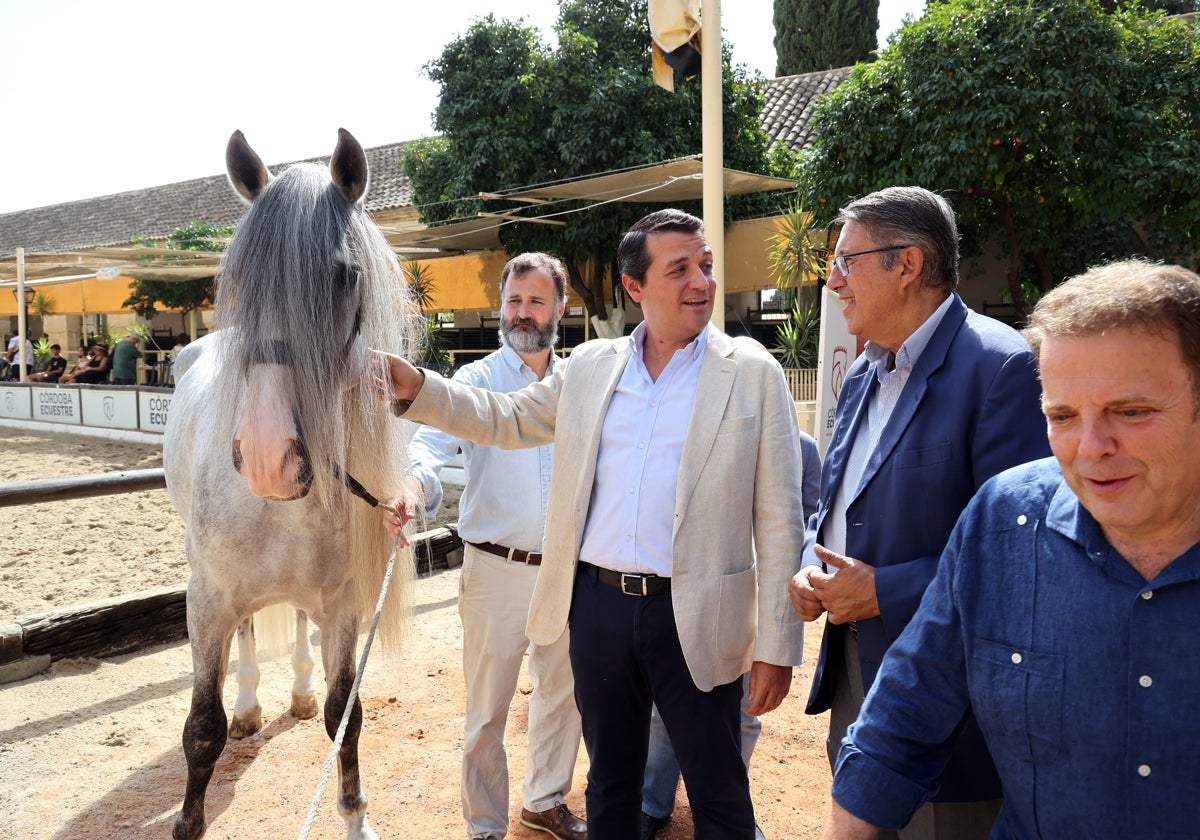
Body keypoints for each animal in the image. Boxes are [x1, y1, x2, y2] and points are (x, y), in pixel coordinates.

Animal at [164, 127, 417, 835]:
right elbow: (203, 728)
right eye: (238, 280)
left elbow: (344, 716)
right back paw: (251, 705)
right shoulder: (208, 599)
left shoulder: (343, 605)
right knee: (249, 637)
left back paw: (297, 691)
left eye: (344, 275)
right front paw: (189, 820)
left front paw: (355, 814)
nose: (268, 457)